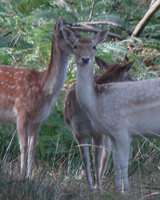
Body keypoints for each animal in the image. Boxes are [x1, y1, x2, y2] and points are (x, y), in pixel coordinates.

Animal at [0, 16, 80, 177]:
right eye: (69, 34)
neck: (44, 88)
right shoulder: (21, 112)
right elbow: (23, 146)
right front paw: (21, 175)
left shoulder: (37, 120)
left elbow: (32, 148)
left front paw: (30, 176)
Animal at [63, 56, 136, 191]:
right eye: (128, 77)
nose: (136, 80)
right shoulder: (77, 133)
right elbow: (86, 160)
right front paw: (90, 188)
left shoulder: (98, 133)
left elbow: (96, 161)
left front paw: (98, 189)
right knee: (109, 155)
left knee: (113, 156)